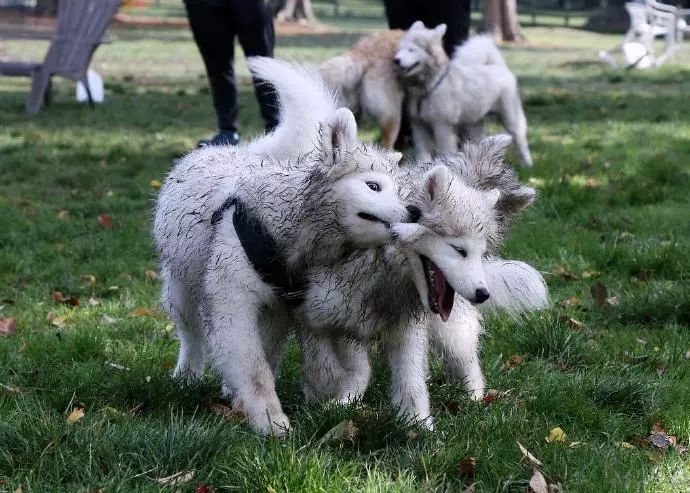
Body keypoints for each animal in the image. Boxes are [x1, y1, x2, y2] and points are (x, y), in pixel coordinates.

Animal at [392, 22, 532, 165]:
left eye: (411, 49)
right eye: (400, 48)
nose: (396, 60)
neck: (428, 87)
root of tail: (499, 66)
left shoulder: (443, 127)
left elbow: (445, 151)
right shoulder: (419, 126)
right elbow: (422, 154)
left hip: (510, 115)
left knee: (520, 137)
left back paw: (527, 165)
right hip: (475, 122)